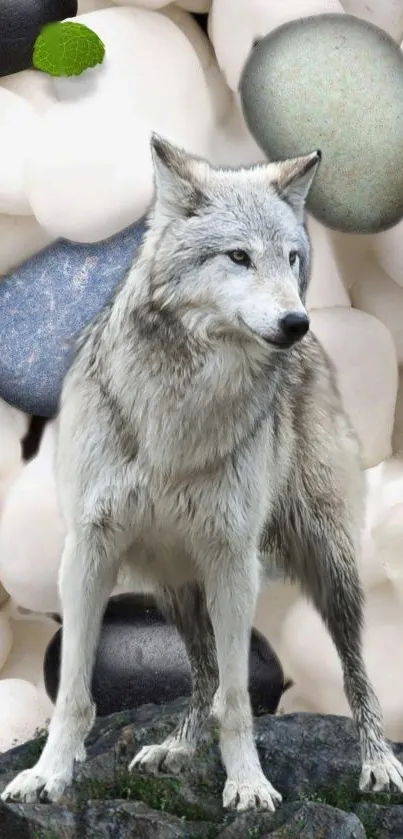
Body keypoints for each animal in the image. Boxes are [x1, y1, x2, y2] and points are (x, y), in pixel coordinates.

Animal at [2, 138, 400, 812]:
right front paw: (47, 774)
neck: (180, 409)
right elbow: (75, 692)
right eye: (238, 257)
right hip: (174, 586)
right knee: (203, 670)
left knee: (353, 670)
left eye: (292, 258)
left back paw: (377, 763)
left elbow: (238, 699)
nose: (297, 323)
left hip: (327, 563)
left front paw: (249, 784)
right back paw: (177, 749)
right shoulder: (88, 550)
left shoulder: (233, 558)